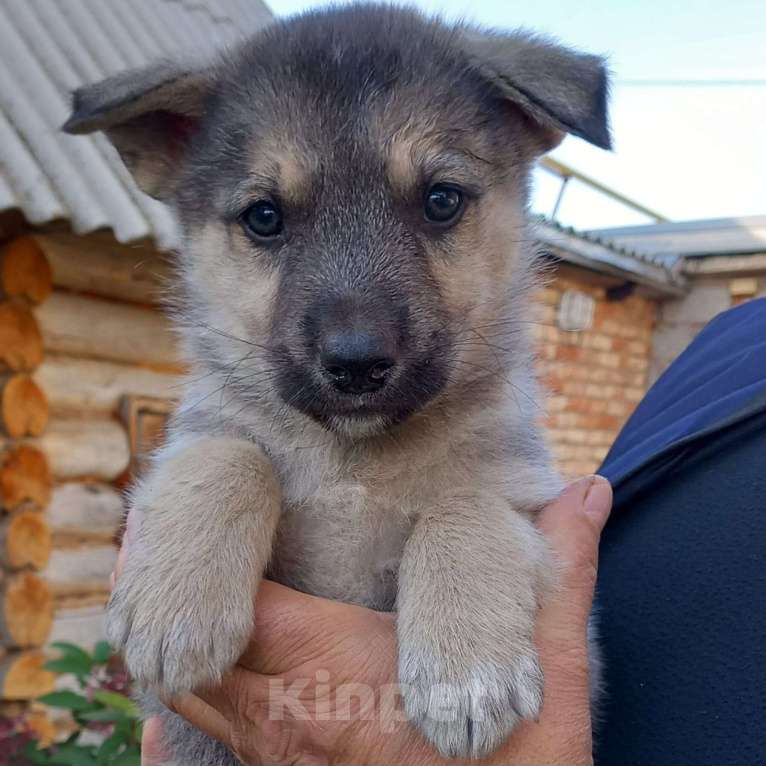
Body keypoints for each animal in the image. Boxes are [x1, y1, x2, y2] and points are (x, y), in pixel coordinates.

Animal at [63, 3, 612, 764]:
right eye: (265, 217)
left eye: (442, 200)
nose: (356, 363)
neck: (353, 461)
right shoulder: (202, 433)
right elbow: (229, 455)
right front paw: (176, 603)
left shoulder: (531, 512)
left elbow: (465, 506)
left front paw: (466, 670)